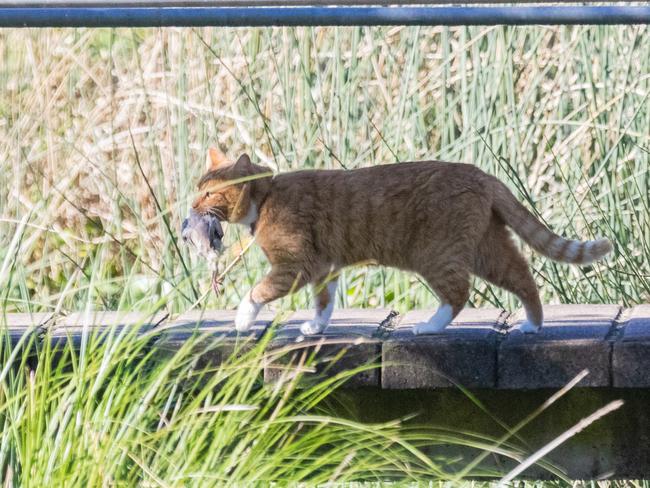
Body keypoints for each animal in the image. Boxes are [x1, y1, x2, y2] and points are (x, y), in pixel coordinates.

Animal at [190, 150, 612, 336]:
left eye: (208, 194)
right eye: (197, 189)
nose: (191, 206)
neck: (268, 197)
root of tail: (480, 174)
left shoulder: (295, 266)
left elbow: (257, 291)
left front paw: (242, 318)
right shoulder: (324, 269)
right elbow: (324, 302)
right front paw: (316, 326)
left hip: (436, 254)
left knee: (458, 293)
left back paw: (430, 326)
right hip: (487, 247)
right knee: (523, 276)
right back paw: (532, 325)